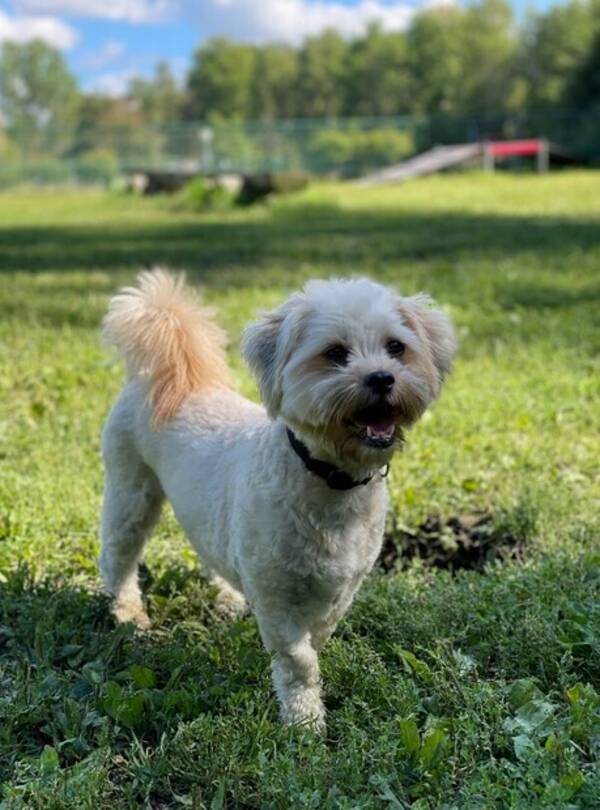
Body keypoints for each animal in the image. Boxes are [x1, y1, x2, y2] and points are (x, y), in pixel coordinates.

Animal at [99, 270, 454, 724]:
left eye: (396, 347)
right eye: (335, 353)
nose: (382, 377)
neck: (328, 478)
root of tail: (169, 375)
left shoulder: (342, 588)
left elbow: (318, 638)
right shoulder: (275, 594)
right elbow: (298, 658)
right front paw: (305, 720)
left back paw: (228, 598)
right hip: (131, 488)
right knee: (118, 555)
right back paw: (129, 614)